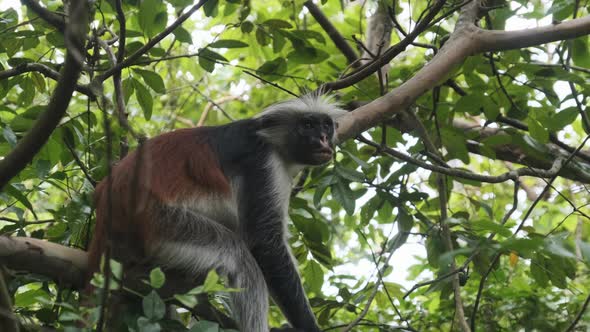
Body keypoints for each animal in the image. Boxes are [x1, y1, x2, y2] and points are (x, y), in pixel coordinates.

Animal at [89, 94, 346, 332]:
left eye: (326, 126)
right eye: (308, 125)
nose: (323, 139)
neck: (270, 139)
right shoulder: (262, 161)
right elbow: (265, 243)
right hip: (161, 222)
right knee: (241, 259)